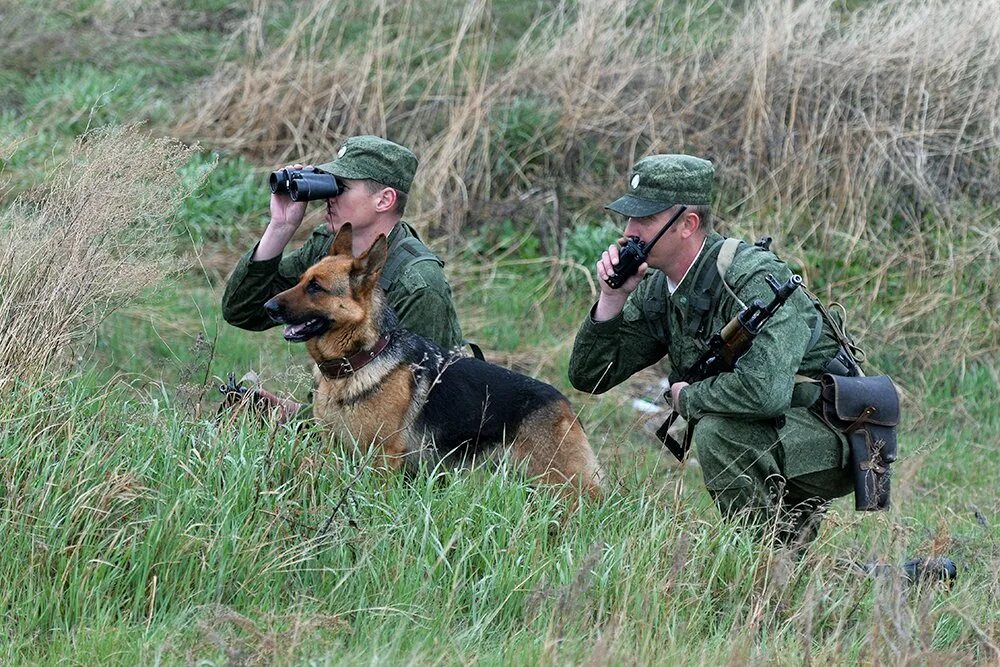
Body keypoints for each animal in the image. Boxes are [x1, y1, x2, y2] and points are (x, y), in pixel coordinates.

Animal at [262, 227, 600, 498]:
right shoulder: (333, 448)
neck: (359, 360)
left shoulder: (383, 457)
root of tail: (566, 404)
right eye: (300, 280)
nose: (268, 306)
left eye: (316, 287)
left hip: (563, 486)